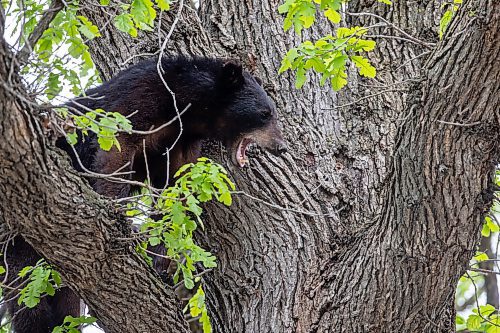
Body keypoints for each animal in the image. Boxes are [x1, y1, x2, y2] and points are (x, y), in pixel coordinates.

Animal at [3, 55, 288, 330]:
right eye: (265, 113)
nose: (281, 147)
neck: (185, 106)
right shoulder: (140, 98)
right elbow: (116, 150)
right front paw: (120, 218)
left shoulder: (180, 143)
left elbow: (174, 195)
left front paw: (159, 264)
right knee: (25, 300)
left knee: (63, 299)